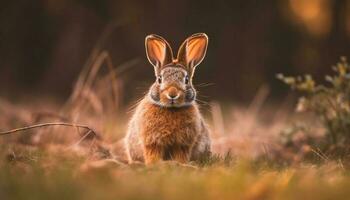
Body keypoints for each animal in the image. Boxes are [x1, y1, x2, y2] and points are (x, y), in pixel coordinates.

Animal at [124, 32, 211, 164]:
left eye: (186, 80)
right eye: (159, 79)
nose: (173, 94)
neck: (171, 109)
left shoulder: (182, 144)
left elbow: (181, 155)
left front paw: (180, 164)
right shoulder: (152, 142)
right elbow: (152, 153)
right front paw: (154, 164)